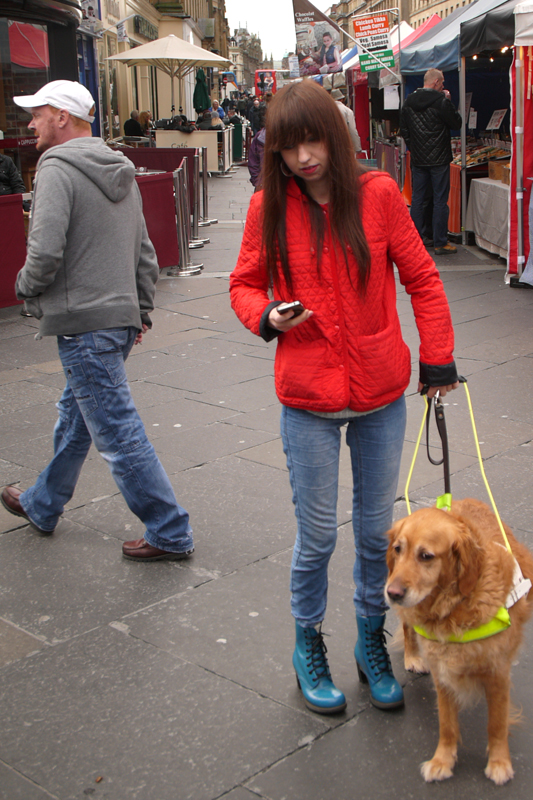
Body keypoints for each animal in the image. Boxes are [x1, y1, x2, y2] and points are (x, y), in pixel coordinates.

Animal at [384, 496, 528, 784]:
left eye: (426, 556)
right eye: (398, 549)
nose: (392, 593)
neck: (454, 605)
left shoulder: (498, 672)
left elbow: (496, 723)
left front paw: (499, 763)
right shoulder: (442, 673)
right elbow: (447, 724)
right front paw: (443, 760)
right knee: (407, 628)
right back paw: (412, 656)